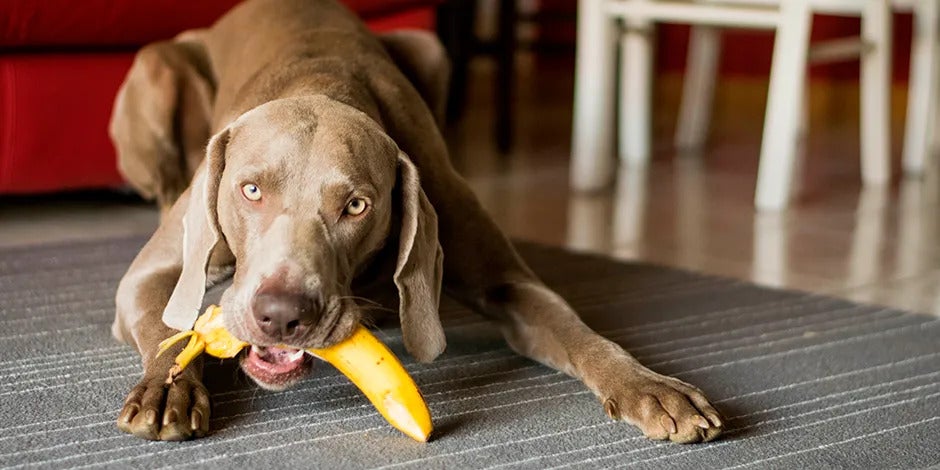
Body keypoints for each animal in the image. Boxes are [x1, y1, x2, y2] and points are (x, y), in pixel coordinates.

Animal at [112, 0, 728, 444]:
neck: (322, 84)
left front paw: (648, 386)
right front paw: (167, 389)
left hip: (428, 47)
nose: (282, 316)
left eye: (356, 206)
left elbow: (577, 330)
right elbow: (166, 330)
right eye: (251, 190)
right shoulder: (146, 276)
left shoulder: (506, 277)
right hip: (156, 68)